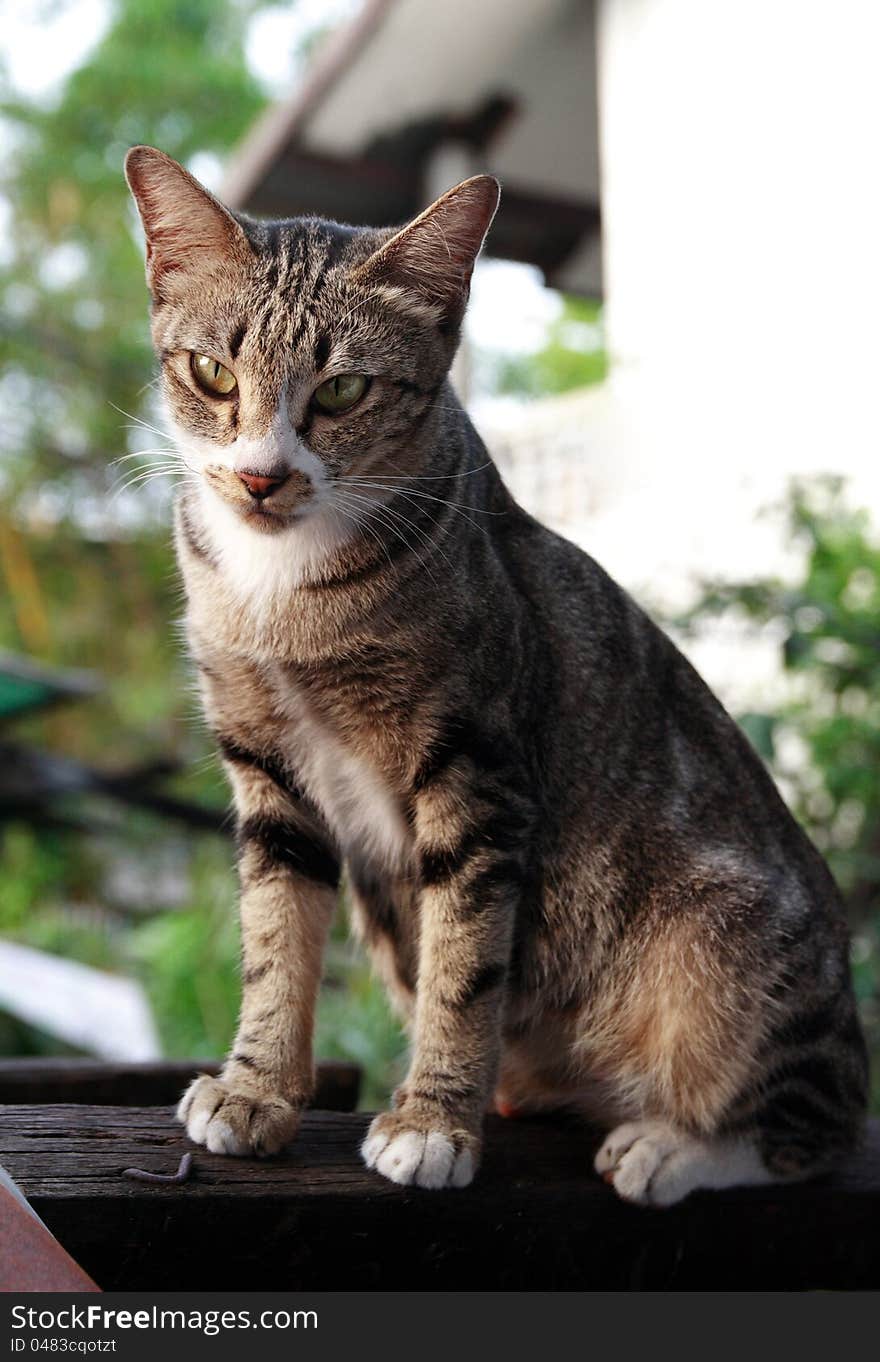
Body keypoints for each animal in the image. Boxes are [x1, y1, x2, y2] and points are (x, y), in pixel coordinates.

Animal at [123, 143, 866, 1204]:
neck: (284, 593)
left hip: (728, 954)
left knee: (815, 1125)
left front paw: (433, 1124)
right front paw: (256, 1090)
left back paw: (672, 1147)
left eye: (343, 392)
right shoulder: (266, 763)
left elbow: (464, 963)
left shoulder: (477, 768)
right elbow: (274, 938)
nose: (263, 477)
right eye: (211, 372)